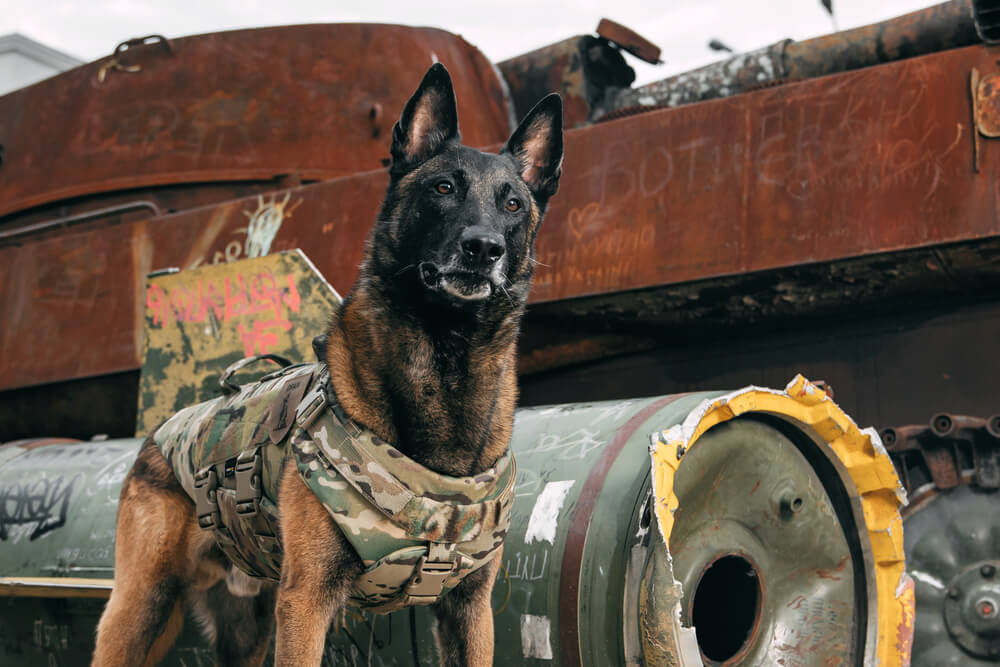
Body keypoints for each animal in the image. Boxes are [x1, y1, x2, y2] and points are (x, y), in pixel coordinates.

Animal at [93, 64, 564, 667]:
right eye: (443, 187)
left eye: (513, 205)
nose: (482, 249)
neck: (445, 360)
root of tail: (162, 430)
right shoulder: (307, 601)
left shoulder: (470, 609)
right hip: (142, 608)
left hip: (245, 629)